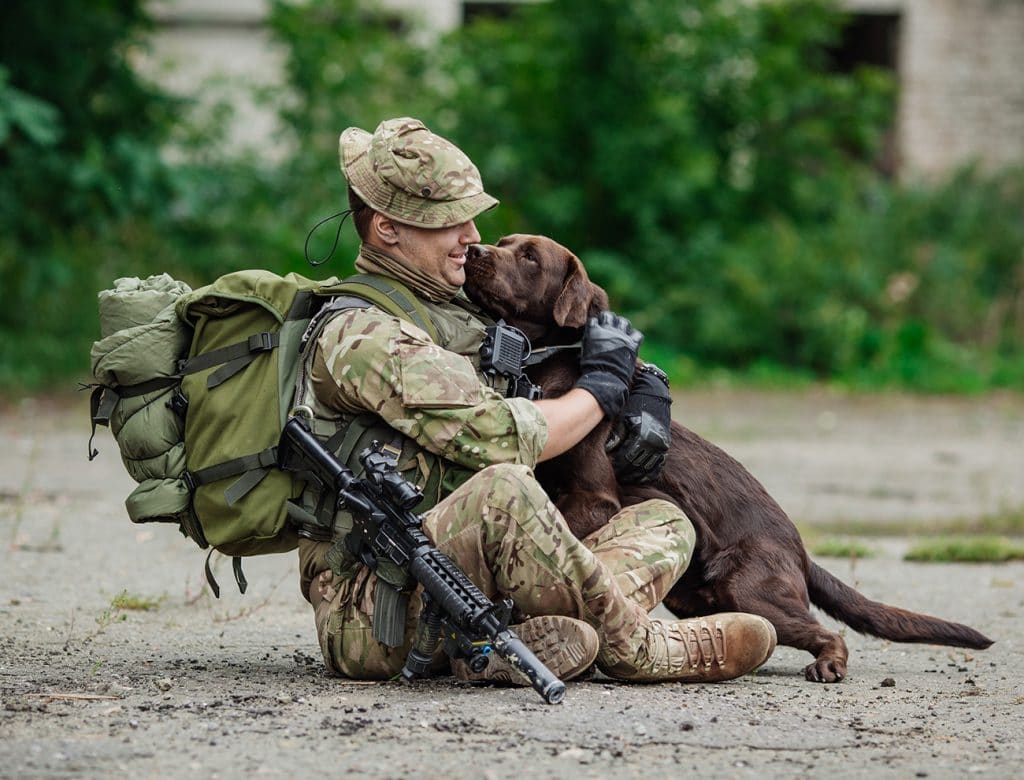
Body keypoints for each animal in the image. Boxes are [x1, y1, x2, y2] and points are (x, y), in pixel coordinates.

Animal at [466, 232, 991, 679]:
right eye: (504, 242)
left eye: (530, 257)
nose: (474, 250)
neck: (548, 362)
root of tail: (800, 551)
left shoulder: (595, 499)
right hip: (697, 596)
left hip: (749, 584)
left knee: (825, 630)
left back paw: (827, 664)